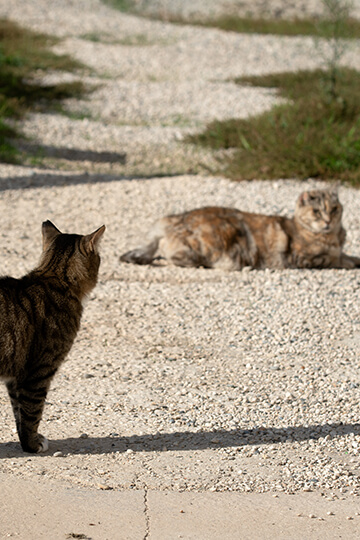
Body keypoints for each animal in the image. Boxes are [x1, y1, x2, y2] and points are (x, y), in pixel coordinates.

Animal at [0, 219, 105, 452]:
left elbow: (18, 412)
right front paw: (32, 444)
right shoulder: (39, 371)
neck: (53, 277)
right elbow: (32, 411)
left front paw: (25, 441)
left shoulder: (15, 378)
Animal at [121, 188, 360, 270]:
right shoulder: (304, 258)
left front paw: (353, 258)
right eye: (317, 212)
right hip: (215, 241)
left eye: (334, 209)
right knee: (171, 256)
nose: (328, 220)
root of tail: (171, 220)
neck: (334, 236)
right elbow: (334, 259)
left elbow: (345, 255)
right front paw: (348, 262)